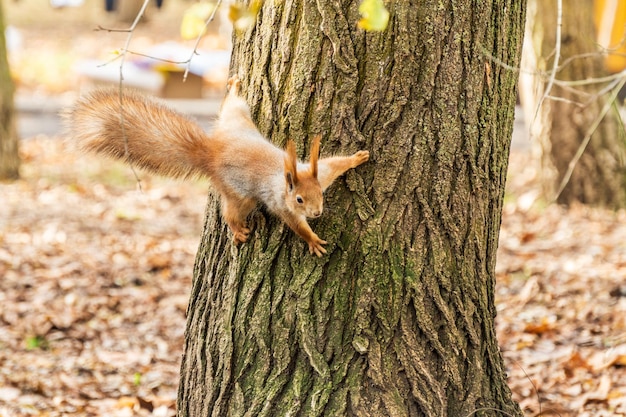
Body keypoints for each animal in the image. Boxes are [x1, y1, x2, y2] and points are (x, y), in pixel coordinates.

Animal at [67, 76, 370, 255]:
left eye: (321, 194)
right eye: (298, 200)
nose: (317, 213)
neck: (285, 180)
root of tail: (211, 153)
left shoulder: (320, 172)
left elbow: (335, 164)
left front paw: (357, 158)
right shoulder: (281, 205)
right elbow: (296, 225)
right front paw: (312, 240)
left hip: (237, 120)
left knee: (232, 105)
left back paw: (234, 86)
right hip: (240, 195)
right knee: (230, 214)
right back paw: (237, 230)